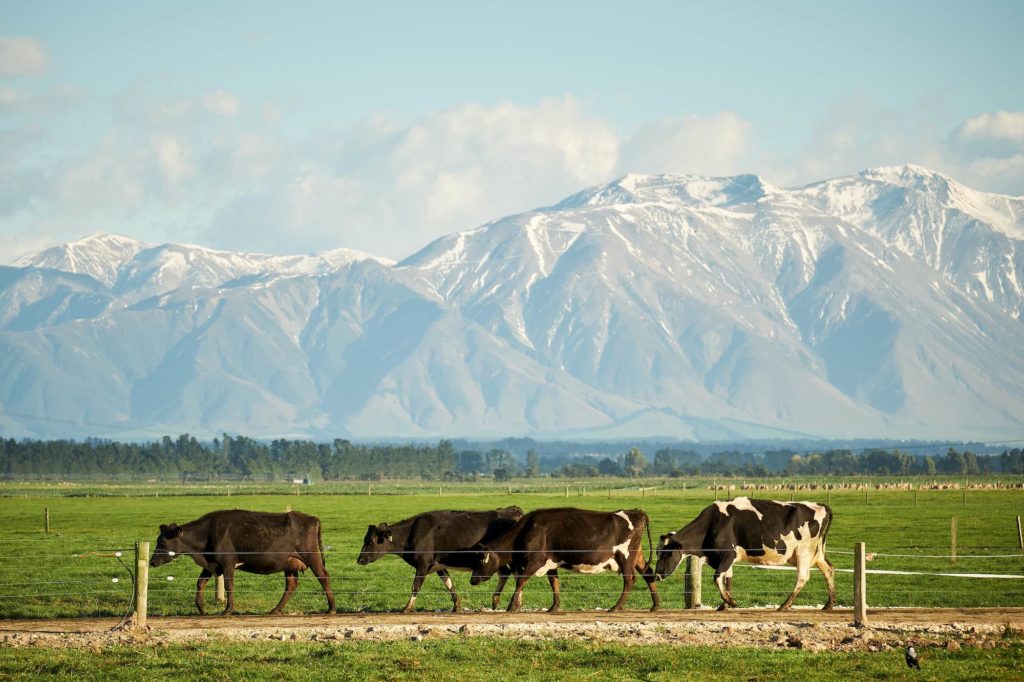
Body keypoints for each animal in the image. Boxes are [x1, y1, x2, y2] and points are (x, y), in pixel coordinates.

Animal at [149, 509, 336, 616]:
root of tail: (312, 519)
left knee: (323, 577)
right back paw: (276, 609)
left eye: (162, 543)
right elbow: (200, 583)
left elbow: (229, 586)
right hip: (289, 563)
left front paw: (227, 610)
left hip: (312, 557)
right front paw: (201, 609)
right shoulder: (212, 564)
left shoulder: (227, 562)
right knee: (291, 584)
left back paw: (331, 608)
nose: (152, 562)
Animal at [356, 506, 524, 613]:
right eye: (365, 539)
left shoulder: (423, 564)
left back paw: (510, 604)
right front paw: (457, 606)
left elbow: (415, 586)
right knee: (510, 574)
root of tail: (511, 510)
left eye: (371, 541)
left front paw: (407, 608)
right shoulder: (438, 565)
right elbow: (449, 584)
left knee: (516, 575)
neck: (412, 534)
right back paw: (507, 603)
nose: (359, 560)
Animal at [469, 507, 660, 613]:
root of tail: (636, 512)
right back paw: (656, 605)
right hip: (637, 556)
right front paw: (554, 607)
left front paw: (511, 606)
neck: (527, 530)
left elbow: (521, 581)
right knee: (648, 574)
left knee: (630, 580)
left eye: (481, 560)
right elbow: (555, 583)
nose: (472, 580)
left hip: (625, 556)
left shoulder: (536, 561)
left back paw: (616, 607)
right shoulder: (551, 562)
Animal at [653, 497, 835, 611]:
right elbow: (727, 580)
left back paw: (785, 605)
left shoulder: (728, 555)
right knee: (829, 570)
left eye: (666, 554)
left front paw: (730, 601)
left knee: (803, 577)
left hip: (803, 552)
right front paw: (724, 605)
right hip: (816, 553)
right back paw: (829, 604)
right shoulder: (725, 559)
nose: (656, 575)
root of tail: (820, 505)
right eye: (657, 553)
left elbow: (717, 577)